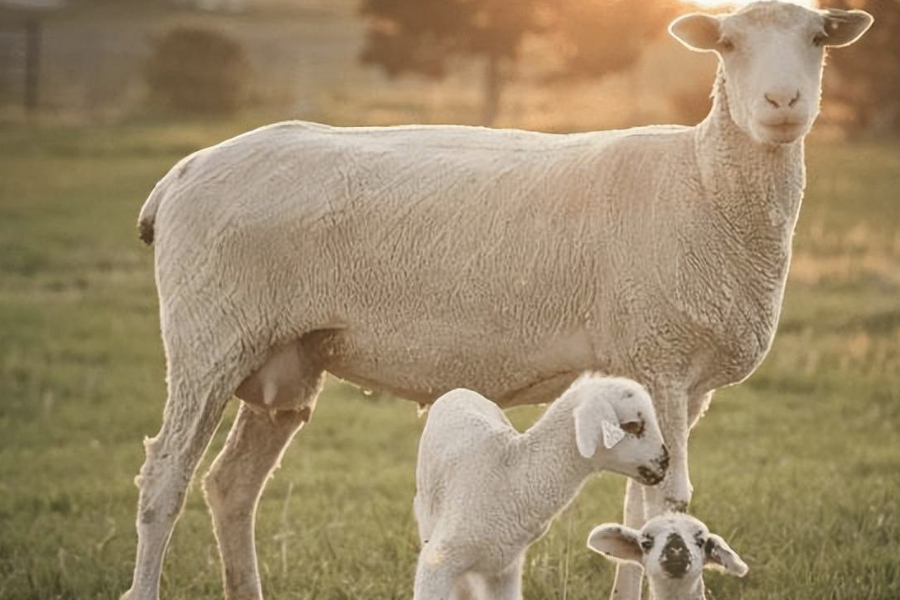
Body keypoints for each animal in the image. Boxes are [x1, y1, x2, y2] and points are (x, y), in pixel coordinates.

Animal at [414, 376, 668, 600]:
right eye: (633, 425)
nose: (665, 462)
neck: (510, 477)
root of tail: (460, 391)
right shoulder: (438, 562)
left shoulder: (504, 569)